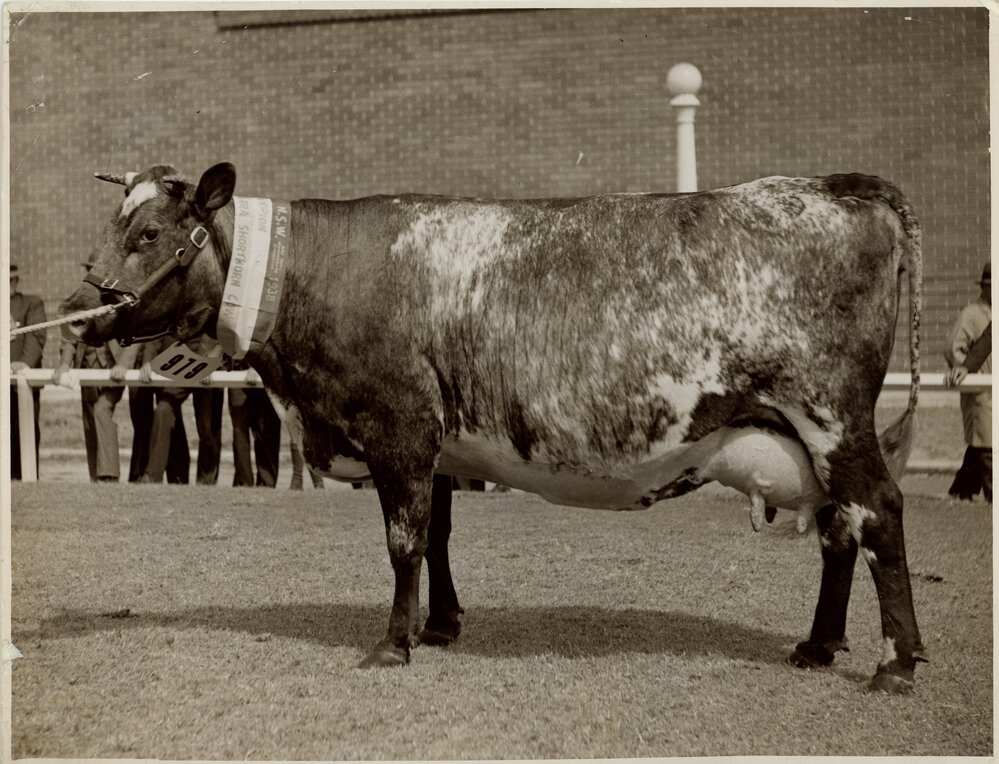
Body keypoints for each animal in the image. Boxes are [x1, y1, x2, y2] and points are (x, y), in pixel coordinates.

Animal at [60, 163, 925, 693]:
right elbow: (439, 535)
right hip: (809, 435)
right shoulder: (438, 442)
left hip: (831, 416)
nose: (81, 311)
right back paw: (817, 645)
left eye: (147, 235)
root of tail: (834, 186)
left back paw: (897, 662)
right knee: (838, 529)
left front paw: (393, 642)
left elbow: (403, 540)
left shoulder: (398, 426)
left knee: (878, 513)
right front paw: (440, 625)